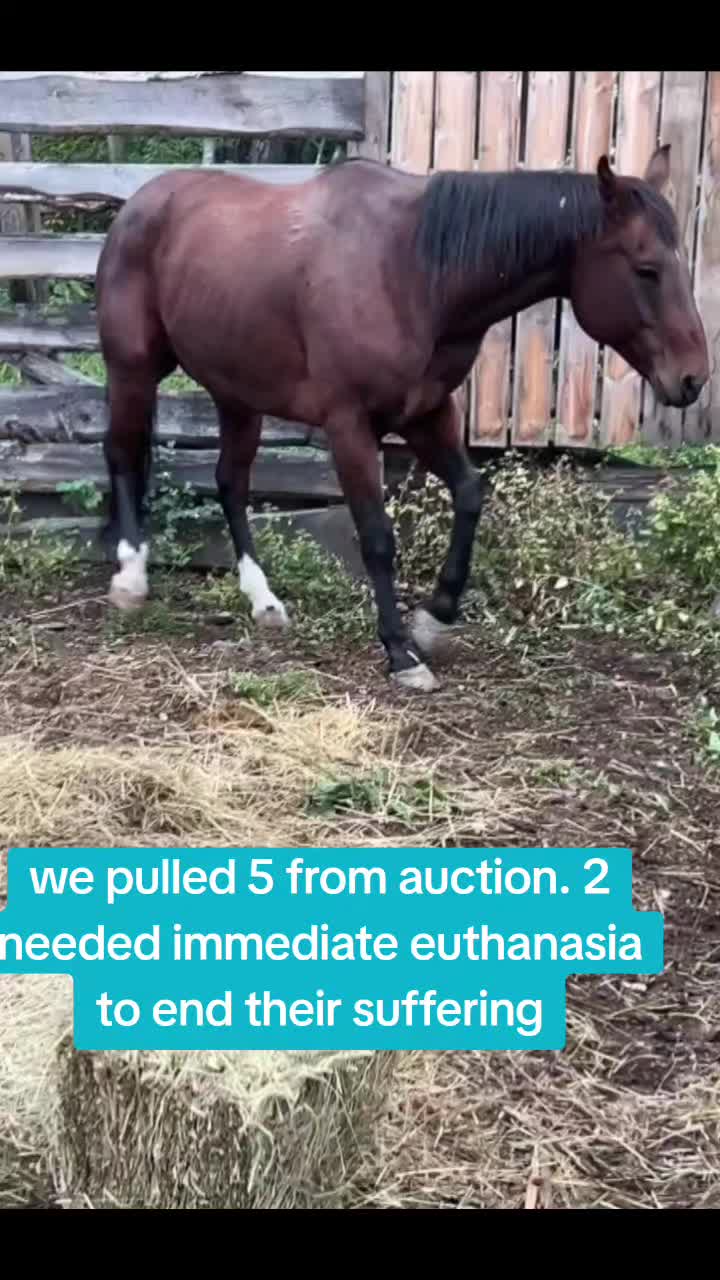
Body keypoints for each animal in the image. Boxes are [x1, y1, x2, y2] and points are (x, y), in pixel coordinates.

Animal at [94, 143, 709, 692]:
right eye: (646, 269)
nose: (694, 378)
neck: (411, 271)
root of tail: (138, 204)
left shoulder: (426, 414)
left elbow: (469, 494)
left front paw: (435, 617)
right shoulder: (349, 426)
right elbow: (376, 537)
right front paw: (399, 651)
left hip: (236, 392)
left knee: (230, 482)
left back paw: (263, 600)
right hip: (133, 369)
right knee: (122, 453)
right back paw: (130, 578)